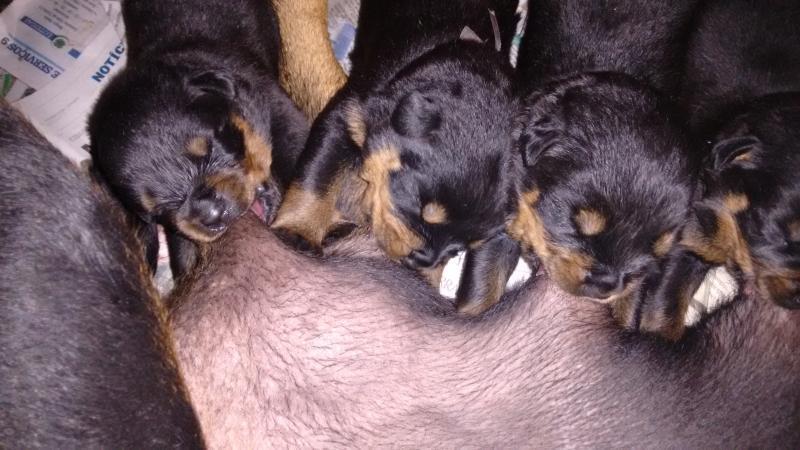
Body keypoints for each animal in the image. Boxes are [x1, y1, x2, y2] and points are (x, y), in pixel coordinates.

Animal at [272, 0, 521, 313]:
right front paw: (298, 231)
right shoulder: (345, 117)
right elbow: (316, 180)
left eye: (463, 246)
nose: (421, 259)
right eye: (418, 209)